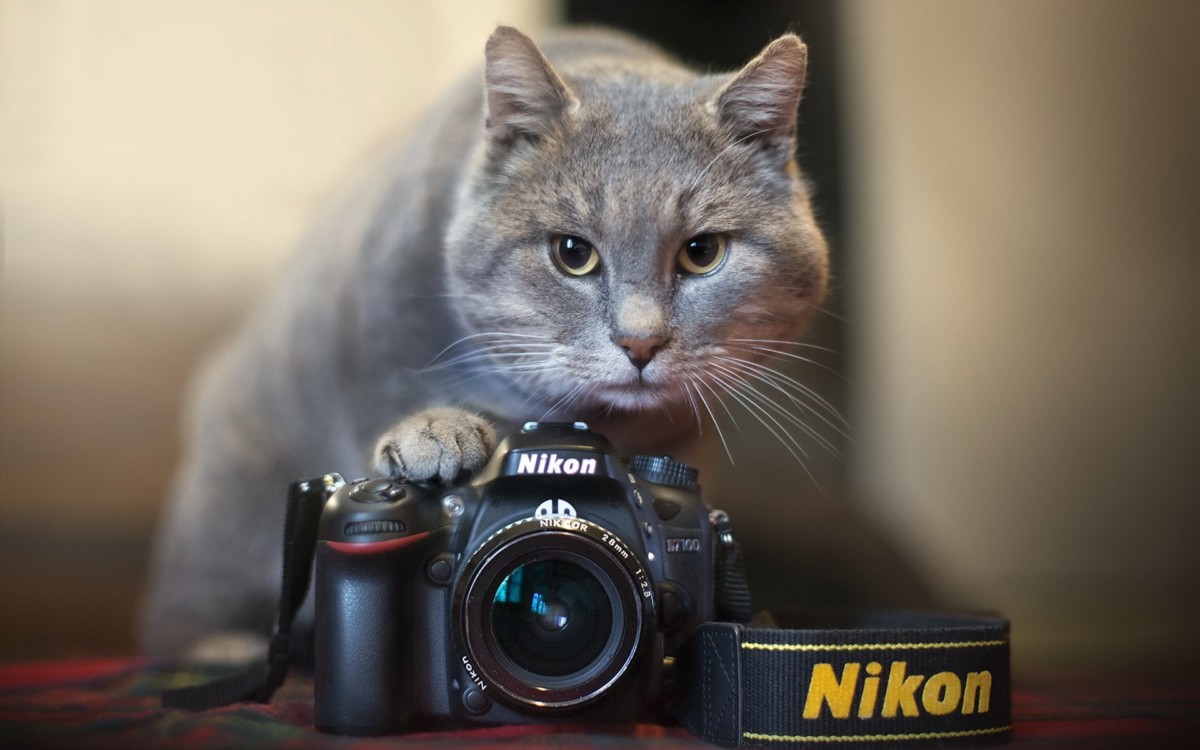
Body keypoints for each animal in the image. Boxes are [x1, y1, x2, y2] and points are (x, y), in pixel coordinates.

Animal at [140, 21, 830, 652]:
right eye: (572, 253)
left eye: (702, 252)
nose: (641, 343)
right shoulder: (368, 326)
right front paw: (433, 435)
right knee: (176, 615)